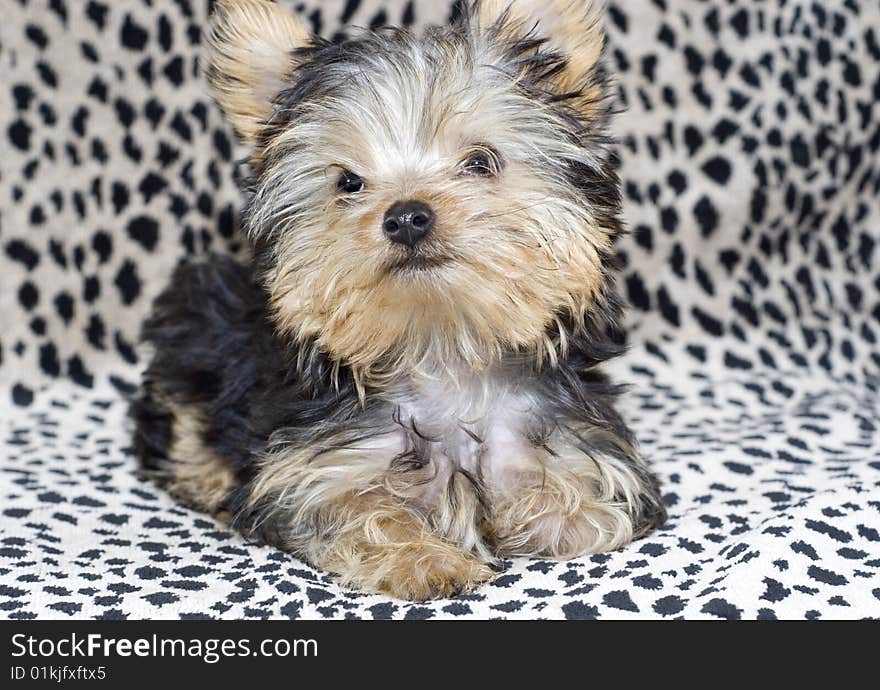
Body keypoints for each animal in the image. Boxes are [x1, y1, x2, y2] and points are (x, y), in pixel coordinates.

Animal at [132, 0, 668, 596]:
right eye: (348, 182)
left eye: (481, 162)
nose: (407, 216)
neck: (442, 349)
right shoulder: (308, 473)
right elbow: (357, 513)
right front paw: (426, 559)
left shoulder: (585, 448)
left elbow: (589, 516)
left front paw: (524, 512)